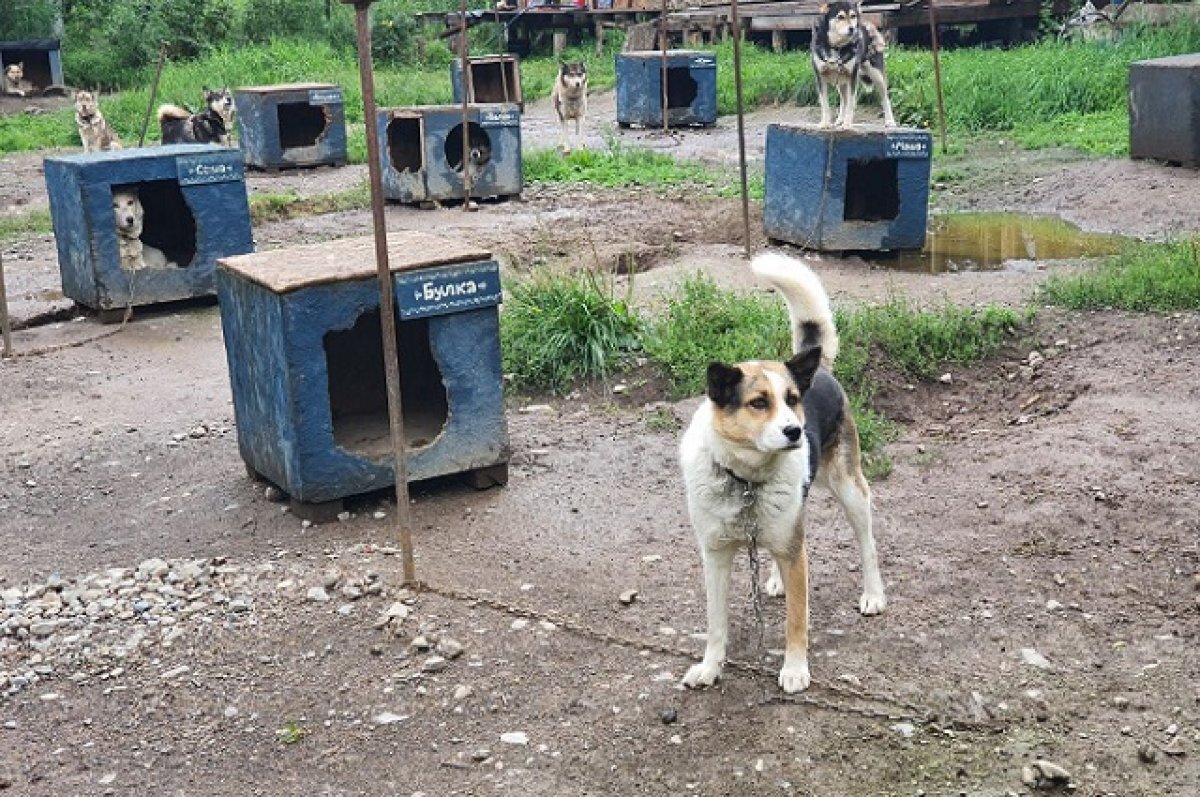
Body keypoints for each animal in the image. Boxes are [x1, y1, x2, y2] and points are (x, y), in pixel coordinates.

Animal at [681, 250, 888, 691]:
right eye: (759, 402)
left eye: (792, 400)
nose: (794, 431)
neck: (747, 479)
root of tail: (817, 367)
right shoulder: (715, 554)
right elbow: (716, 623)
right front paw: (709, 667)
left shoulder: (796, 555)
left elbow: (797, 619)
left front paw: (794, 669)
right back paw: (774, 581)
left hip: (850, 489)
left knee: (867, 544)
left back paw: (874, 594)